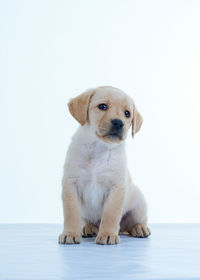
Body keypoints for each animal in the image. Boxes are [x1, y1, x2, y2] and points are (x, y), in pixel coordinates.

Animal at [58, 86, 151, 245]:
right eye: (102, 106)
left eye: (127, 113)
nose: (119, 123)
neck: (99, 147)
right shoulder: (71, 184)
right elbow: (72, 213)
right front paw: (70, 233)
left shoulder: (116, 188)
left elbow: (110, 215)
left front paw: (108, 234)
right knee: (91, 222)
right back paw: (89, 228)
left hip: (139, 205)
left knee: (134, 222)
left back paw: (140, 228)